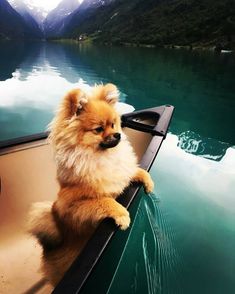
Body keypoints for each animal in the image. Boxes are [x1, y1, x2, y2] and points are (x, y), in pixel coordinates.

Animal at [28, 83, 154, 288]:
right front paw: (121, 214)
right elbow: (105, 201)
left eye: (113, 124)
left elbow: (134, 171)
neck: (101, 157)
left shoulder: (120, 173)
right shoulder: (72, 207)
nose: (118, 134)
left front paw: (147, 180)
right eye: (99, 129)